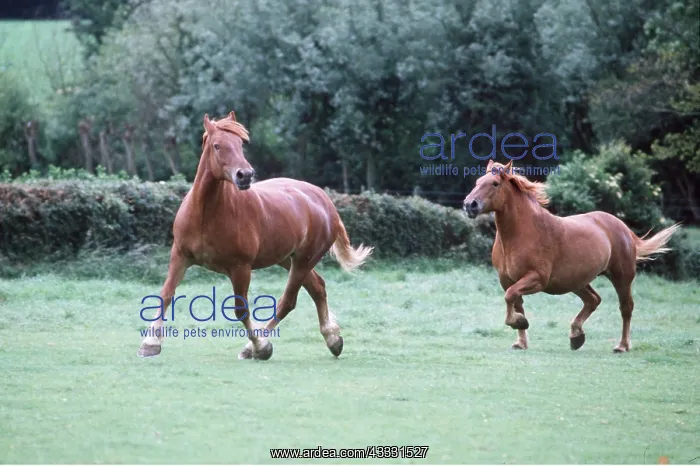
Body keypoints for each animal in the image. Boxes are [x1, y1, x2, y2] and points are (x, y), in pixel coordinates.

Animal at [138, 111, 373, 360]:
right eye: (217, 145)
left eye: (240, 144)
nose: (245, 175)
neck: (205, 214)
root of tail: (325, 202)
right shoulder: (180, 256)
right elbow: (166, 294)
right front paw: (150, 343)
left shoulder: (241, 268)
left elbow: (241, 309)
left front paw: (260, 346)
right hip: (288, 259)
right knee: (317, 287)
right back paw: (333, 339)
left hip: (303, 261)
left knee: (287, 301)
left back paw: (255, 347)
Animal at [463, 159, 680, 352]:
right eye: (477, 182)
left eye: (495, 183)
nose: (469, 205)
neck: (522, 233)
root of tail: (622, 227)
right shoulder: (507, 280)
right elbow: (515, 301)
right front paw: (521, 339)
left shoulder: (536, 279)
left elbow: (510, 297)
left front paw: (520, 322)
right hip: (576, 281)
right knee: (593, 300)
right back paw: (576, 336)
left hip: (621, 277)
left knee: (626, 308)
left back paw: (621, 346)